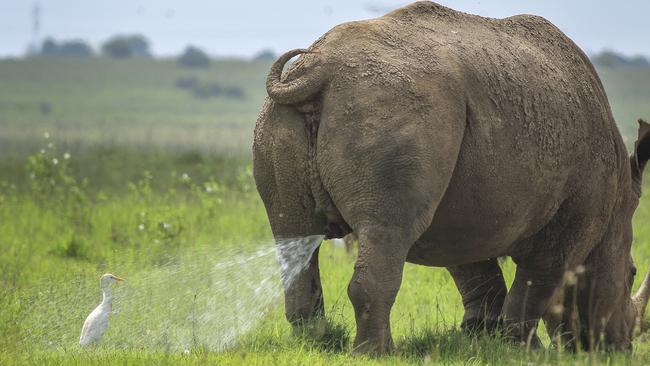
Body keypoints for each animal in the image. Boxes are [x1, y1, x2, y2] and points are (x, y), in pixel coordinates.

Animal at [251, 0, 648, 354]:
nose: (621, 346)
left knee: (293, 234)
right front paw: (520, 349)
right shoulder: (575, 217)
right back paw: (375, 354)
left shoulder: (465, 208)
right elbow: (538, 281)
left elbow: (476, 270)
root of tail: (319, 68)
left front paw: (484, 338)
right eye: (631, 272)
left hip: (284, 118)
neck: (619, 201)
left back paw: (316, 345)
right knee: (388, 231)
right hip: (396, 108)